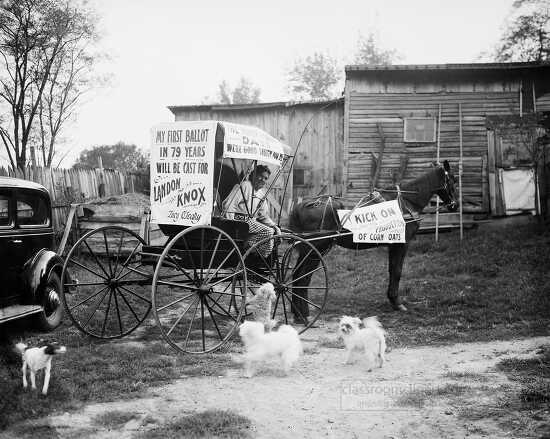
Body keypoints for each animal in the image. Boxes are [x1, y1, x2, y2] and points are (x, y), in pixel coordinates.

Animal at [286, 160, 460, 318]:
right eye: (451, 180)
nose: (455, 205)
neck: (405, 201)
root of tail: (303, 205)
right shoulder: (402, 244)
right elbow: (397, 271)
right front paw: (397, 302)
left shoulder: (393, 244)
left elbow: (392, 270)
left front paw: (392, 299)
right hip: (316, 249)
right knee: (303, 278)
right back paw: (303, 314)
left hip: (308, 250)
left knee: (297, 275)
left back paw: (297, 312)